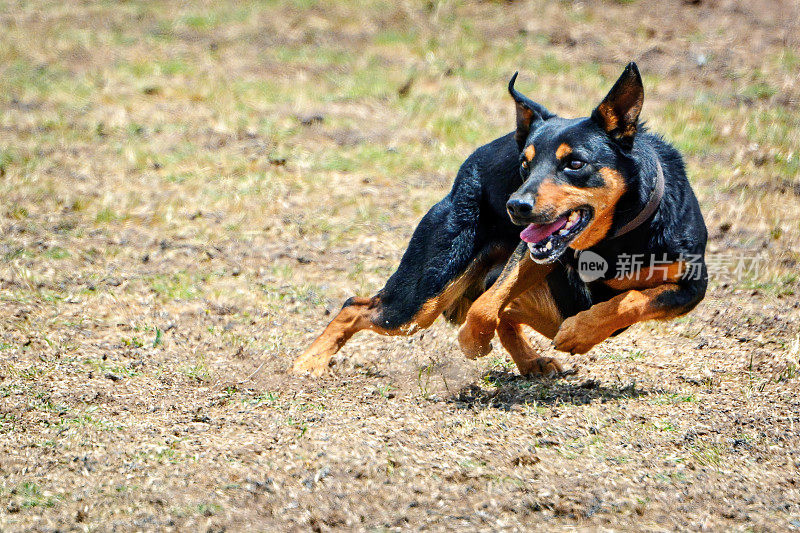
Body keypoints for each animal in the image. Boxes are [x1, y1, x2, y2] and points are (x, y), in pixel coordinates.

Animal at [292, 62, 708, 376]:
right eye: (524, 165)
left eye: (575, 163)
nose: (516, 206)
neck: (612, 238)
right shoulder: (532, 252)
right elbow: (487, 303)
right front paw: (472, 341)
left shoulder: (691, 286)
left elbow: (633, 299)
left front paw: (579, 332)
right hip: (426, 293)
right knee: (357, 306)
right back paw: (307, 363)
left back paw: (533, 360)